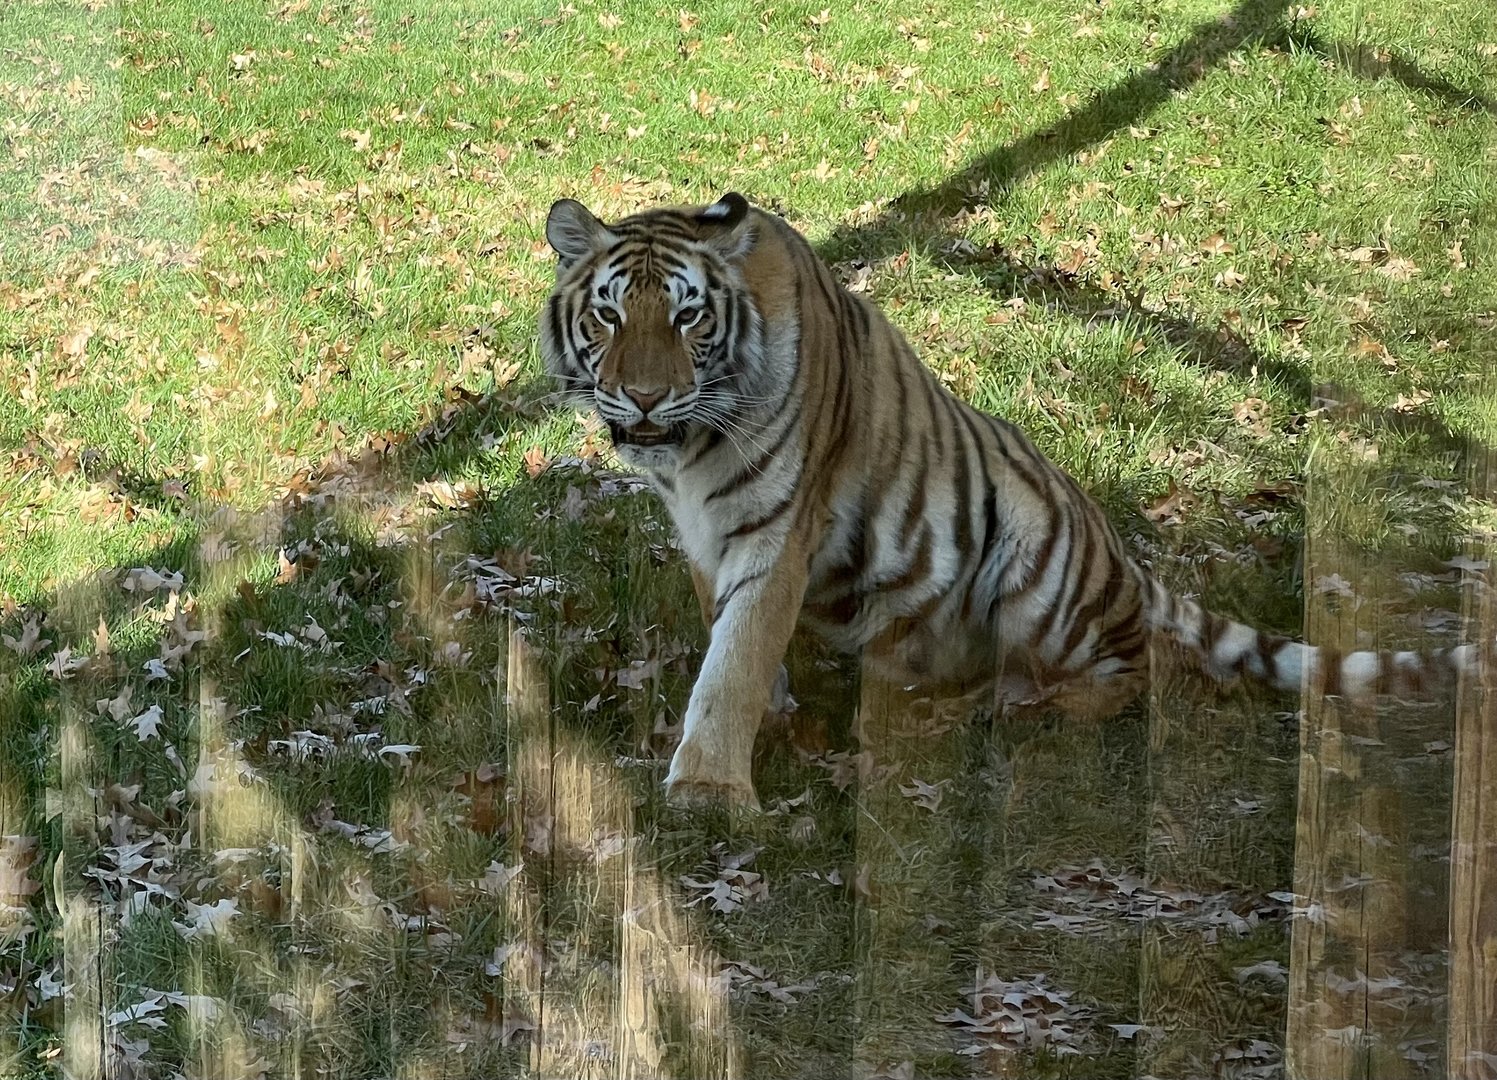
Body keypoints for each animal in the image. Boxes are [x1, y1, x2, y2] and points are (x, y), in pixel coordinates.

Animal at [539, 191, 1479, 809]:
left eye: (690, 318)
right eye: (610, 317)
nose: (646, 399)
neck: (690, 455)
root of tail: (1128, 565)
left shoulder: (777, 531)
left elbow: (732, 658)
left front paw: (706, 787)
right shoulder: (702, 532)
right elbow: (726, 638)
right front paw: (767, 720)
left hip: (1036, 556)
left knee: (1136, 672)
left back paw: (1024, 708)